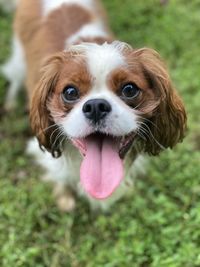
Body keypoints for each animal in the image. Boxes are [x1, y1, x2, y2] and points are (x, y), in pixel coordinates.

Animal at [1, 0, 186, 214]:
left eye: (129, 89)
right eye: (70, 92)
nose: (96, 106)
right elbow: (60, 176)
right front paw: (64, 197)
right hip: (19, 57)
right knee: (15, 77)